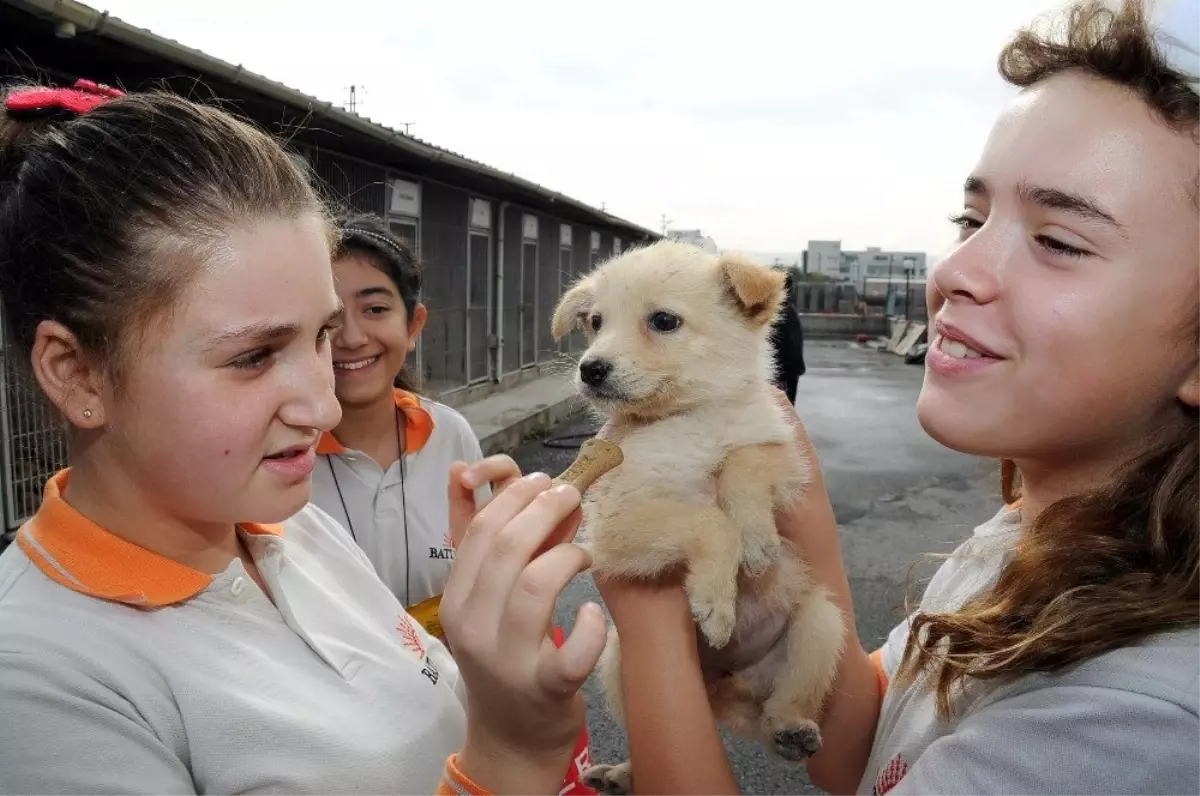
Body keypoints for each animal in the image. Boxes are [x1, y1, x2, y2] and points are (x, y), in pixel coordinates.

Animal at [549, 242, 844, 796]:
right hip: (619, 660)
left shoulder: (786, 455)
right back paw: (622, 775)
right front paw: (717, 602)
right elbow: (708, 522)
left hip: (821, 624)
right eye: (596, 322)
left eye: (663, 321)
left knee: (778, 711)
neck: (691, 418)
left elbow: (744, 462)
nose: (589, 369)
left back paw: (792, 730)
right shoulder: (617, 523)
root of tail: (729, 685)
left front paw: (757, 539)